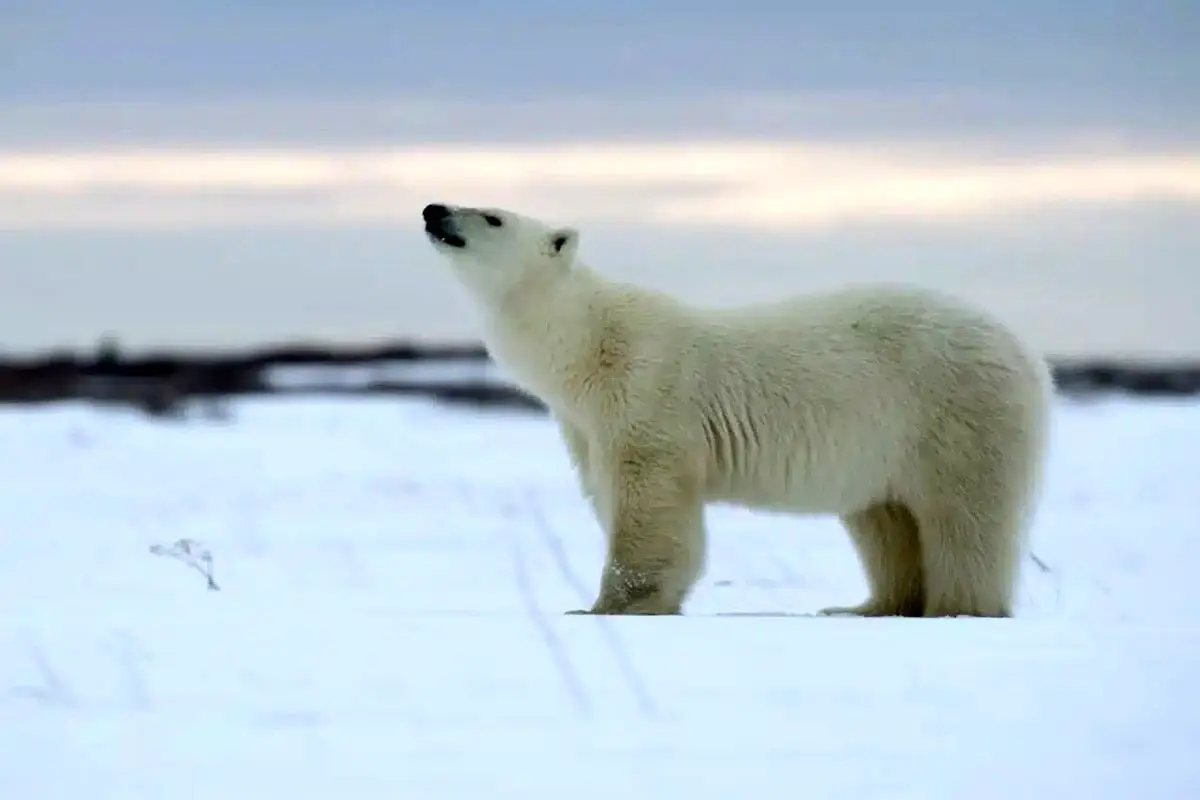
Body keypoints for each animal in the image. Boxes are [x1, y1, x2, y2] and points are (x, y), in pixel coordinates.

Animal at [422, 201, 1051, 618]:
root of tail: (1029, 354)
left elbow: (647, 501)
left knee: (964, 517)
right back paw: (868, 606)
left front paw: (610, 605)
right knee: (887, 520)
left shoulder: (646, 391)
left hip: (955, 409)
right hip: (888, 443)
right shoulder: (584, 425)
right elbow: (609, 490)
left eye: (493, 217)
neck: (586, 345)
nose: (434, 209)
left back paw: (958, 606)